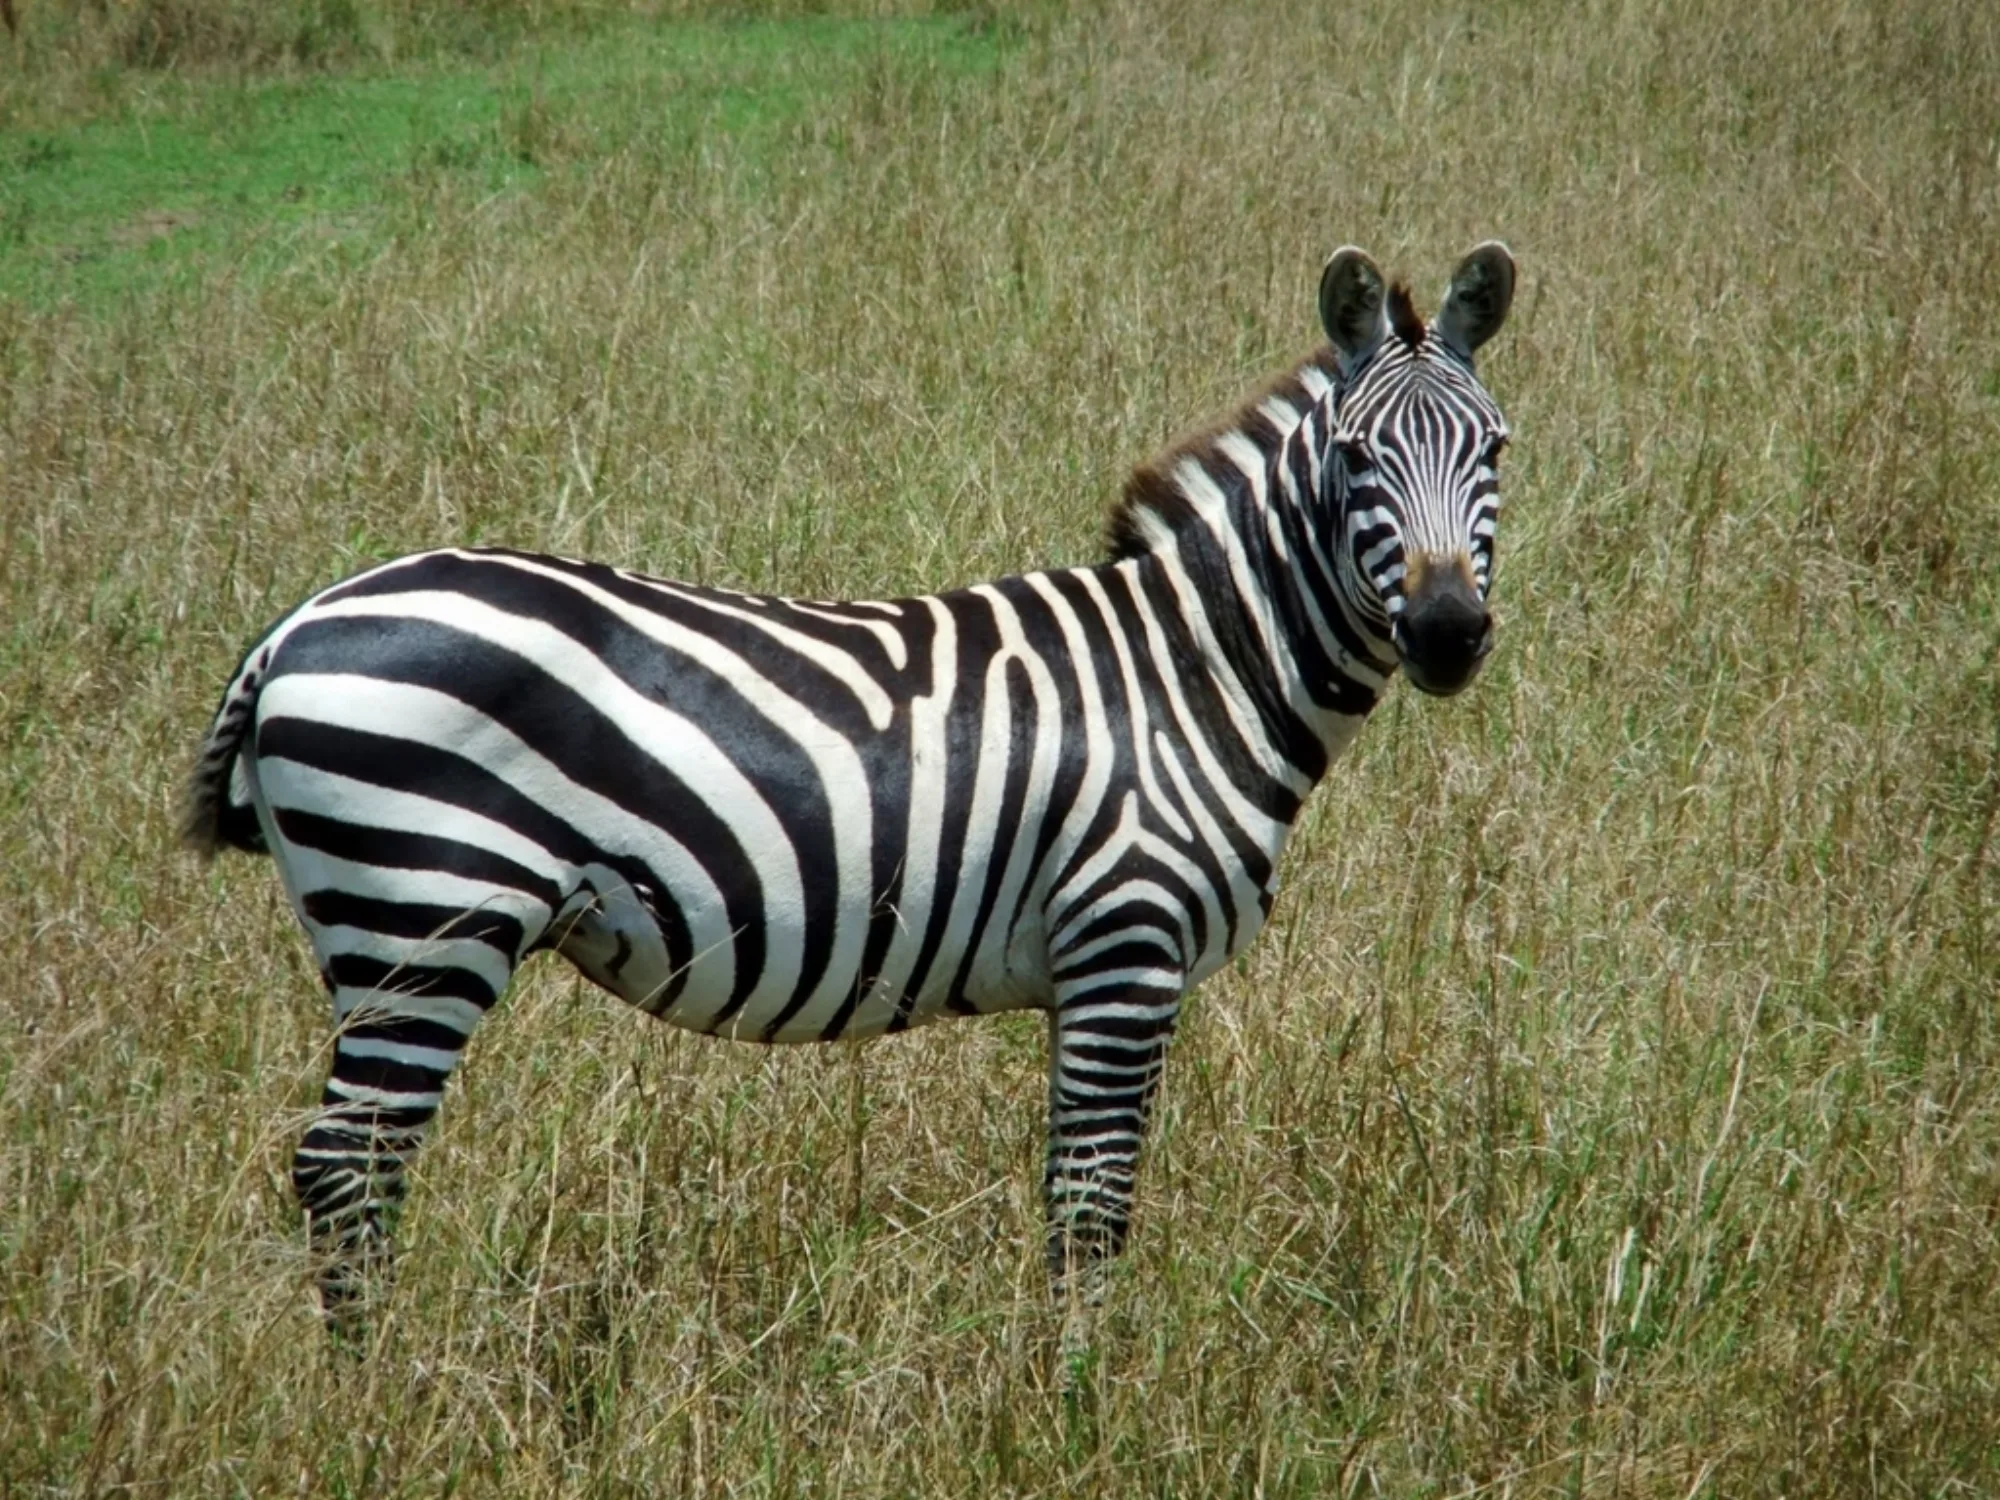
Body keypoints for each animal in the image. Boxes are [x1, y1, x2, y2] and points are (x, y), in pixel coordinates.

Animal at [184, 242, 1516, 1328]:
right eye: (1354, 457)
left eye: (1495, 448)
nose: (1449, 634)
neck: (1191, 673)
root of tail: (299, 622)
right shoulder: (1124, 948)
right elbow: (1090, 1210)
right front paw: (1076, 1405)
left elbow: (1072, 1197)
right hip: (425, 915)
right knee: (348, 1168)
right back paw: (379, 1395)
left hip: (387, 928)